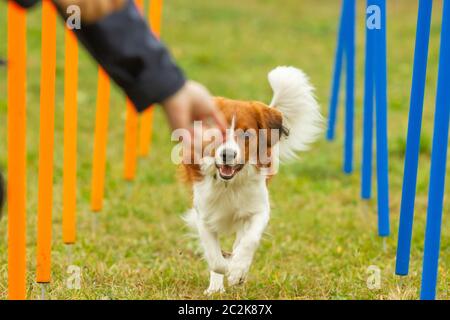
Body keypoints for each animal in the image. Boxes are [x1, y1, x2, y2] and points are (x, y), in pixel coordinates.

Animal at [182, 66, 324, 294]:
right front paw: (224, 274)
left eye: (246, 135)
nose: (227, 155)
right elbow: (215, 259)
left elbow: (249, 240)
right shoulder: (203, 215)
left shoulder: (258, 209)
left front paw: (238, 270)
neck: (229, 184)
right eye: (216, 132)